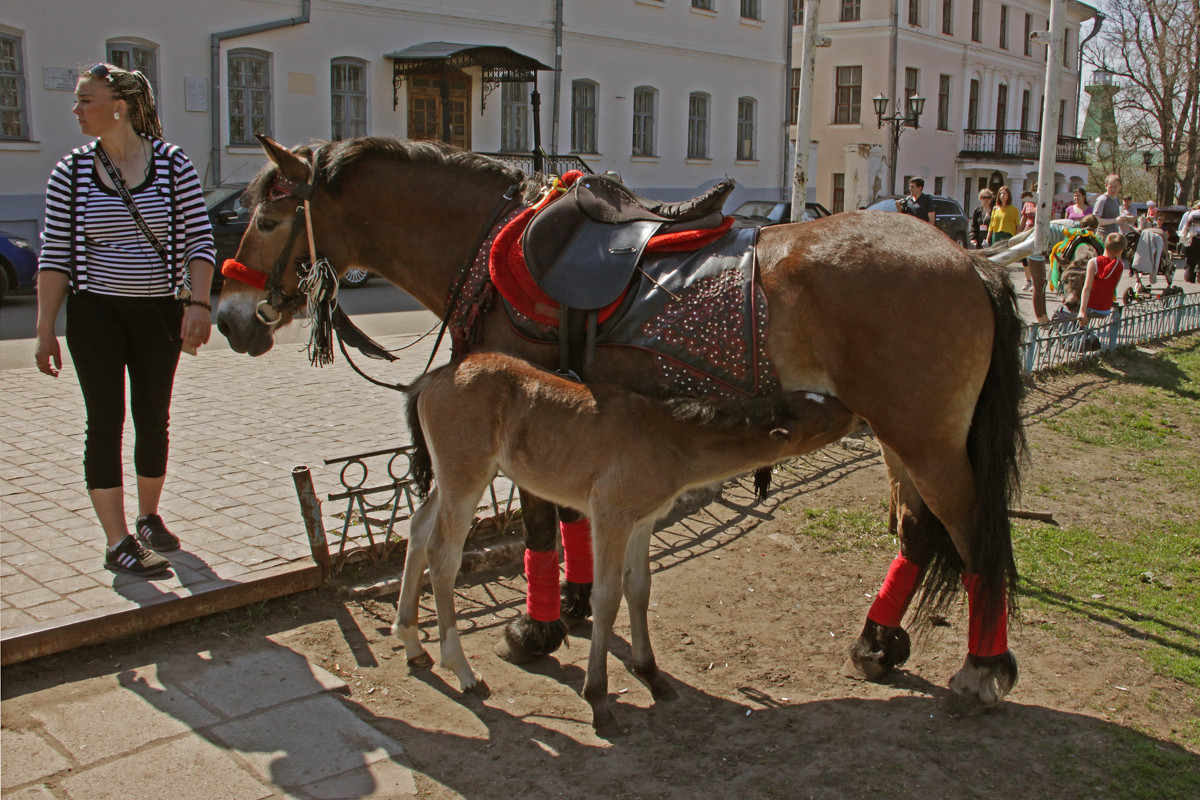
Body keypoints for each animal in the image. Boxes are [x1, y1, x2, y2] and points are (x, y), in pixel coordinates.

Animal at [398, 352, 859, 734]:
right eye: (822, 416)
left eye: (821, 399)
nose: (854, 408)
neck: (669, 437)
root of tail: (431, 378)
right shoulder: (611, 515)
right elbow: (606, 598)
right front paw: (599, 700)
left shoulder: (643, 520)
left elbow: (639, 588)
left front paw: (651, 673)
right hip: (466, 473)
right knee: (443, 554)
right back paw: (462, 670)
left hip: (452, 476)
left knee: (418, 530)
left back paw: (412, 642)